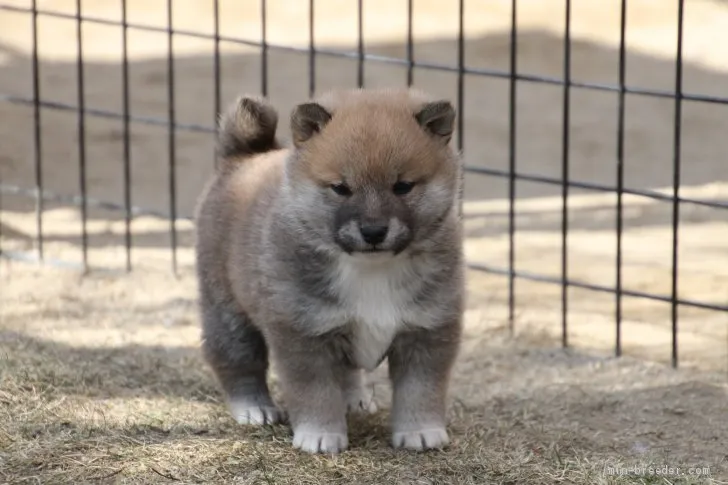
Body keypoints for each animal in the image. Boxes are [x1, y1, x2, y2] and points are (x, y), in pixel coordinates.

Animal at [195, 87, 466, 454]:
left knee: (347, 371)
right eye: (341, 188)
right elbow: (316, 391)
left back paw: (355, 400)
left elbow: (420, 389)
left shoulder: (427, 329)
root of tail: (243, 157)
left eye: (403, 186)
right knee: (236, 361)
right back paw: (253, 408)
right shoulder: (304, 332)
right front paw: (320, 435)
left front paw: (421, 431)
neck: (370, 271)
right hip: (227, 310)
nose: (373, 231)